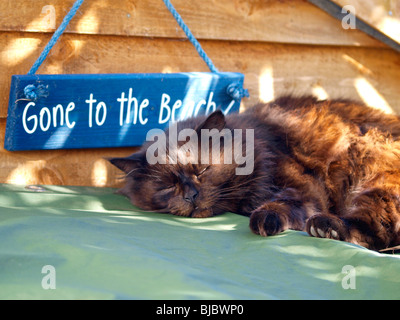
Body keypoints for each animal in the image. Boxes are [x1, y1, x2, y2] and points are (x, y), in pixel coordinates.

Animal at [108, 96, 400, 251]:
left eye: (202, 169)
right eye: (168, 185)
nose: (191, 196)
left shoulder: (303, 188)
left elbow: (282, 202)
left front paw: (265, 218)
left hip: (373, 178)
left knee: (377, 231)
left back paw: (327, 227)